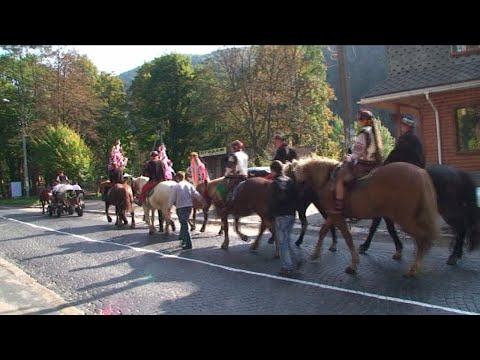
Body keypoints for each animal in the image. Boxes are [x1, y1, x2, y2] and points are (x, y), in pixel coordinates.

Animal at [292, 156, 438, 278]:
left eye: (298, 182)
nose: (297, 208)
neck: (327, 181)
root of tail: (419, 172)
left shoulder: (337, 216)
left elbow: (347, 238)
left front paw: (353, 265)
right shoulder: (333, 215)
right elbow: (323, 231)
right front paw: (316, 253)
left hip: (404, 218)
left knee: (422, 238)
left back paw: (413, 268)